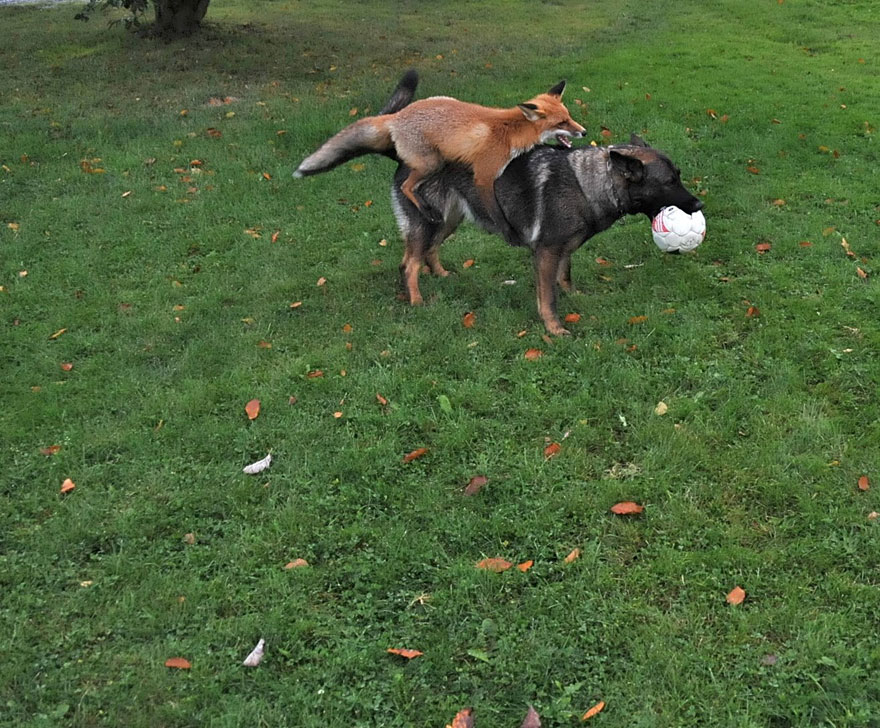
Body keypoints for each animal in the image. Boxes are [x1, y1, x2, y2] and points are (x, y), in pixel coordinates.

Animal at [294, 71, 585, 245]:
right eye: (562, 122)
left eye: (569, 116)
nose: (583, 131)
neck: (511, 130)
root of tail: (396, 116)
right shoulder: (484, 175)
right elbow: (496, 212)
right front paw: (509, 233)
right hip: (431, 163)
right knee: (406, 185)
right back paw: (426, 209)